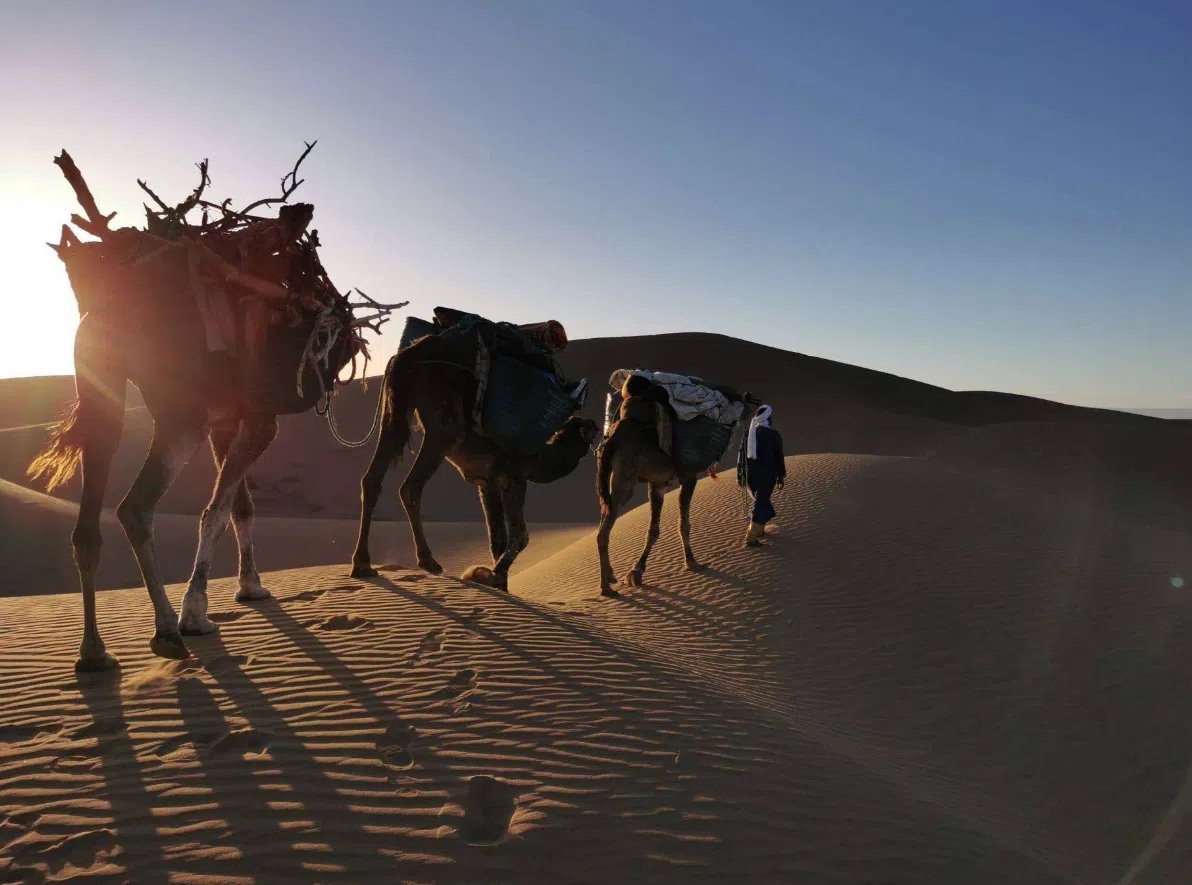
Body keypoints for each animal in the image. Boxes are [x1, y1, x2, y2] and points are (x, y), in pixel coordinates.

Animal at [29, 149, 385, 672]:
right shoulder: (259, 420)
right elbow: (215, 510)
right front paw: (196, 614)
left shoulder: (228, 420)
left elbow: (242, 505)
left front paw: (251, 586)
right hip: (180, 416)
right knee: (135, 507)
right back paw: (165, 632)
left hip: (101, 390)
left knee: (88, 524)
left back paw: (94, 653)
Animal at [351, 330, 598, 591]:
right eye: (586, 427)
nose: (595, 423)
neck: (541, 458)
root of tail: (407, 355)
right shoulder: (513, 475)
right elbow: (519, 536)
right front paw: (491, 576)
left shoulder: (487, 481)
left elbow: (497, 540)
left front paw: (500, 587)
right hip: (444, 428)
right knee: (411, 487)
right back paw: (428, 561)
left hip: (394, 411)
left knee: (372, 480)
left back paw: (362, 564)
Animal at [596, 374, 756, 598]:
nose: (752, 399)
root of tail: (613, 437)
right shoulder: (688, 475)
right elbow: (684, 524)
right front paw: (692, 562)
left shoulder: (658, 483)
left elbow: (653, 530)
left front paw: (636, 572)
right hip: (624, 478)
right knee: (604, 530)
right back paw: (606, 588)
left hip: (609, 476)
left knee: (605, 512)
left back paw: (610, 576)